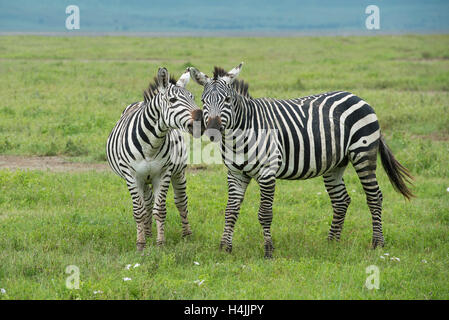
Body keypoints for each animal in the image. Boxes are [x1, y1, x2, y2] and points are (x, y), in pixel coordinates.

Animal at [105, 67, 203, 251]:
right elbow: (139, 211)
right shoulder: (132, 176)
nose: (201, 122)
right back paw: (147, 232)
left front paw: (160, 243)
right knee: (147, 202)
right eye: (172, 100)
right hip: (143, 179)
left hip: (178, 172)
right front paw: (141, 243)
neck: (151, 144)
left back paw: (186, 234)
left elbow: (160, 210)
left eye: (192, 97)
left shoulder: (163, 174)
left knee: (181, 201)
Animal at [189, 63, 412, 260]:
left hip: (363, 154)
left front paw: (268, 252)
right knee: (341, 200)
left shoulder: (267, 172)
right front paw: (224, 248)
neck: (240, 135)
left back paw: (377, 243)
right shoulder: (236, 174)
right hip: (335, 164)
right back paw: (332, 243)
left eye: (227, 99)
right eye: (203, 100)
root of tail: (357, 97)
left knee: (374, 196)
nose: (212, 130)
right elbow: (230, 211)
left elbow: (265, 214)